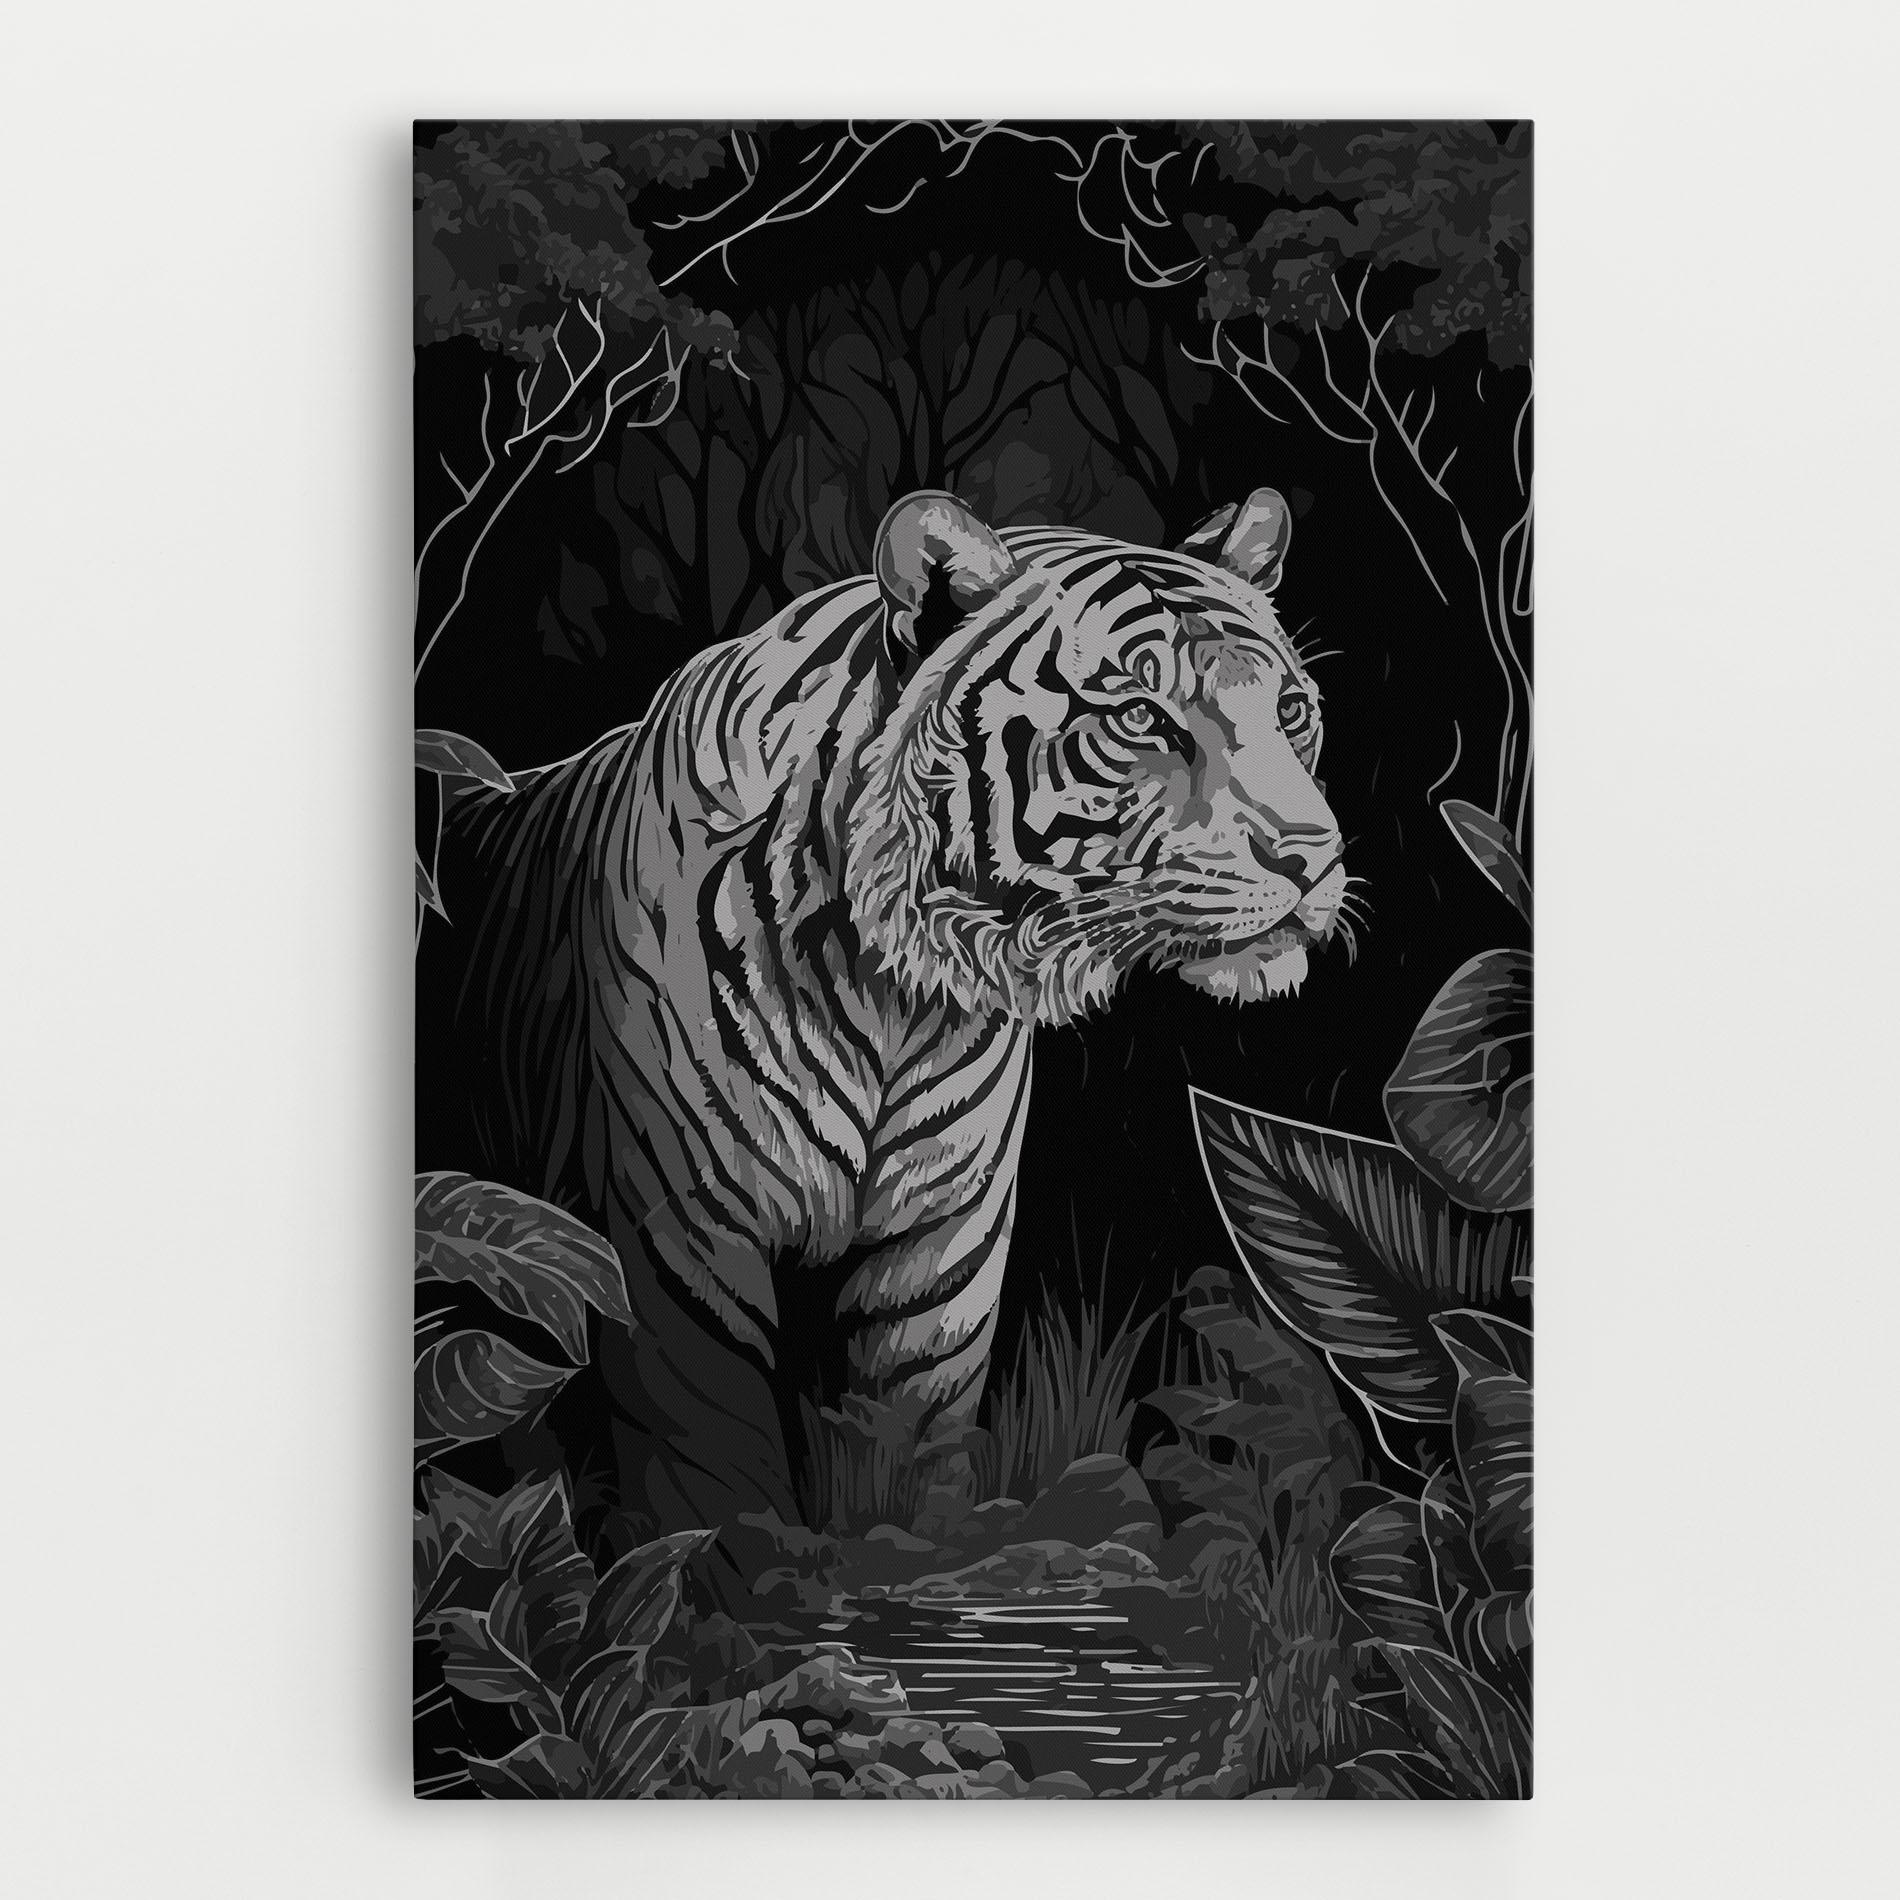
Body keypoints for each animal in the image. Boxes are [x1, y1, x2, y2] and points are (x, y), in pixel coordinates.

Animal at [440, 488, 1348, 1544]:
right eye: (1138, 716)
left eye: (1289, 711)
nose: (1313, 857)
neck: (897, 997)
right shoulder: (678, 1248)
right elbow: (710, 1485)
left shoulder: (942, 1250)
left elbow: (912, 1459)